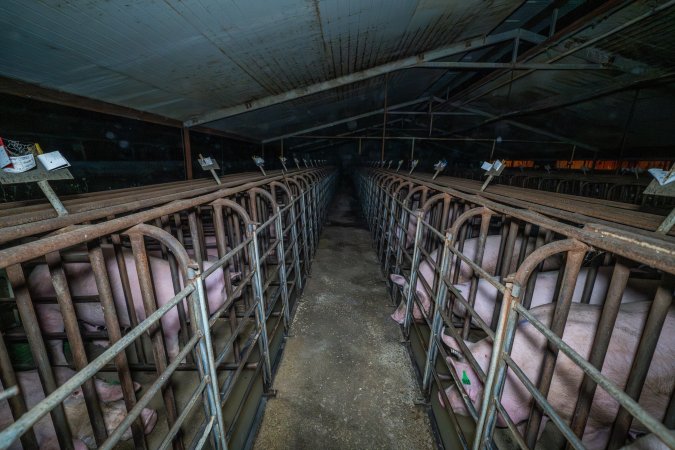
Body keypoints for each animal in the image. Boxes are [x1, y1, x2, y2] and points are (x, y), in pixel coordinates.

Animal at [29, 244, 240, 364]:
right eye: (223, 287)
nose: (238, 285)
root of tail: (33, 274)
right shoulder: (167, 321)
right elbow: (171, 342)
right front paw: (178, 361)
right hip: (47, 311)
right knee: (55, 342)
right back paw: (65, 366)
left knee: (90, 325)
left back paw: (105, 344)